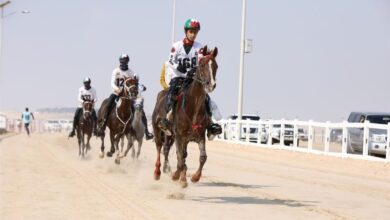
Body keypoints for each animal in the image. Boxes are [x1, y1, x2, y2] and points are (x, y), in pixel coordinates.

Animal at [152, 46, 219, 187]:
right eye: (202, 64)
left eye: (215, 66)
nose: (210, 84)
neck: (193, 107)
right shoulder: (179, 136)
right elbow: (180, 156)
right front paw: (181, 178)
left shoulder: (199, 136)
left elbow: (202, 157)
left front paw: (194, 177)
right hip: (158, 130)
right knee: (160, 147)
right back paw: (158, 172)